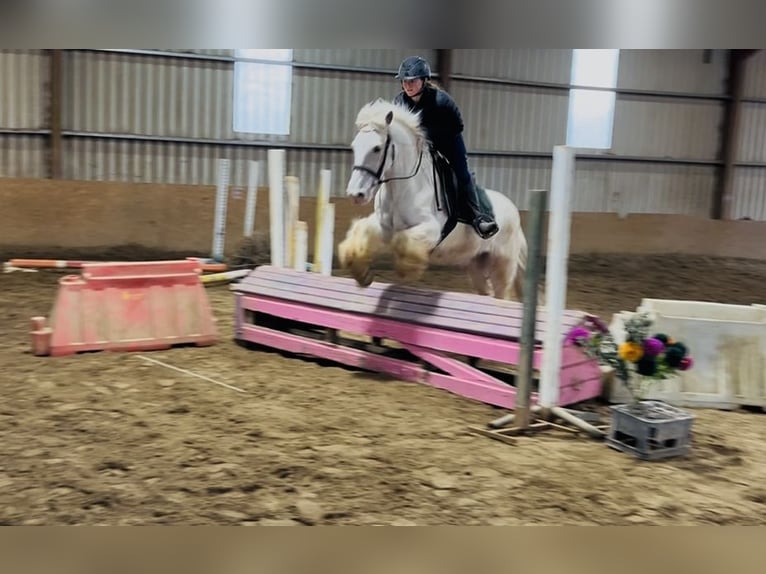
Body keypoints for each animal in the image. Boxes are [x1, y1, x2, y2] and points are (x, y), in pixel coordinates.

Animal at [337, 98, 528, 301]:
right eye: (354, 146)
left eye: (376, 148)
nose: (356, 194)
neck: (402, 188)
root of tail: (514, 212)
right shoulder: (383, 226)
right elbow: (363, 232)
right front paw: (360, 271)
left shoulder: (431, 229)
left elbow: (402, 241)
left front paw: (407, 270)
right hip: (476, 264)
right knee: (485, 291)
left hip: (502, 265)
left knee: (501, 293)